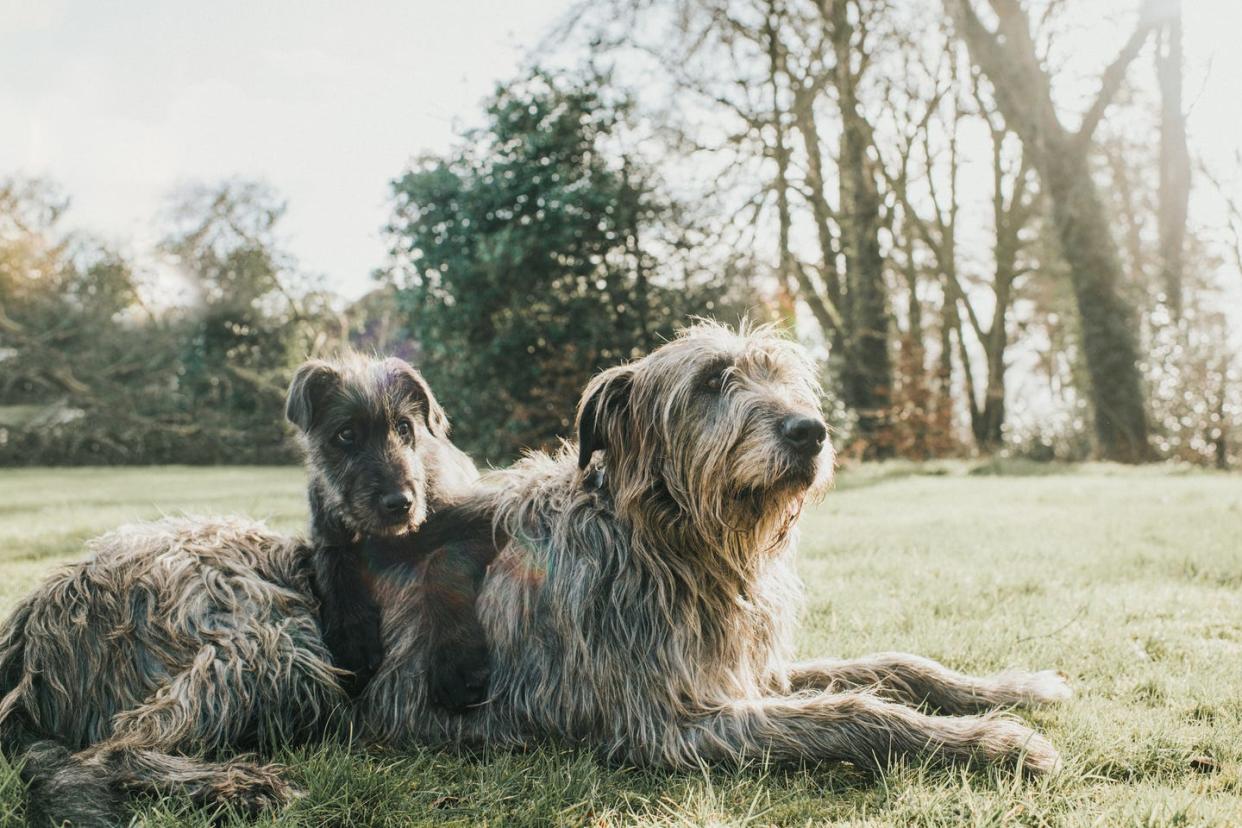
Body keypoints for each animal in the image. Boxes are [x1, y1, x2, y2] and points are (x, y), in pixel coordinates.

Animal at [284, 352, 489, 705]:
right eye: (346, 434)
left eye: (404, 427)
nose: (400, 503)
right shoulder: (328, 540)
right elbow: (334, 572)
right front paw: (353, 637)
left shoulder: (485, 519)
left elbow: (443, 565)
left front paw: (457, 660)